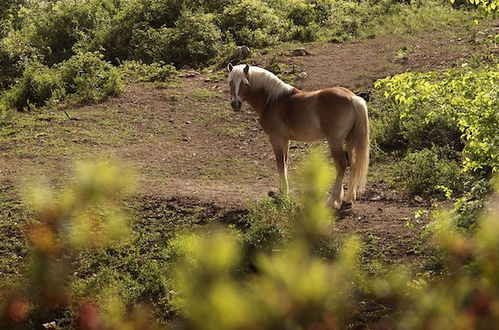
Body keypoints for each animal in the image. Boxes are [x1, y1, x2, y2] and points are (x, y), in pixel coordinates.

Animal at [229, 62, 370, 209]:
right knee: (353, 164)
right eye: (230, 82)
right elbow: (285, 162)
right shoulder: (285, 140)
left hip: (335, 141)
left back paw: (333, 199)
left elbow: (280, 163)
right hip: (350, 139)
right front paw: (282, 191)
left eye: (245, 83)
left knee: (341, 165)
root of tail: (353, 98)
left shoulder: (276, 138)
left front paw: (282, 192)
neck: (272, 100)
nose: (235, 104)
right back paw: (348, 199)